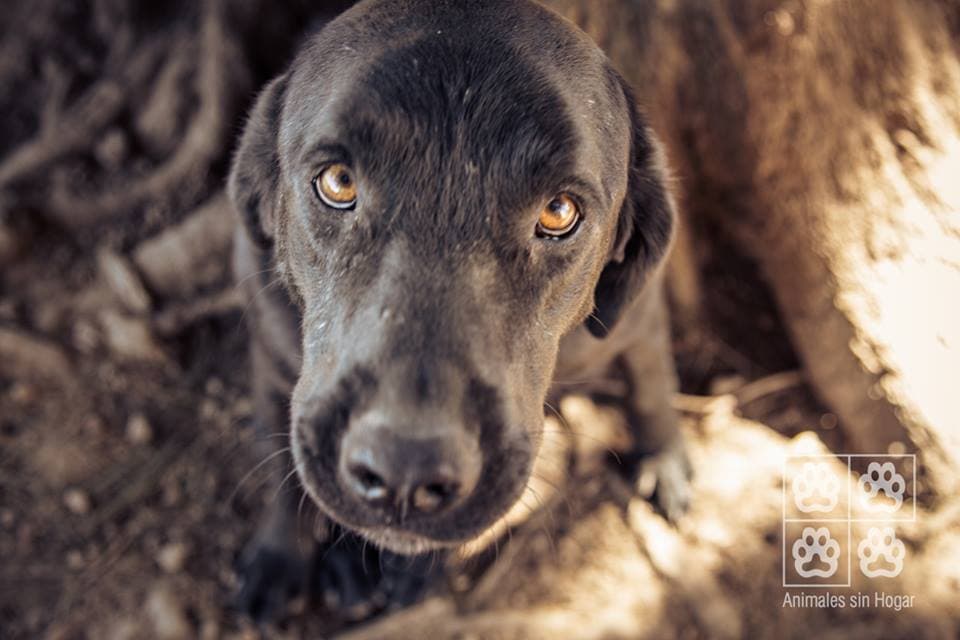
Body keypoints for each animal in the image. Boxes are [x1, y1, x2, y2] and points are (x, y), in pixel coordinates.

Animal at [228, 0, 690, 622]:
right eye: (338, 182)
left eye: (559, 211)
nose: (405, 469)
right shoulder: (272, 351)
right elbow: (281, 470)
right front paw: (280, 561)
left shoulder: (636, 323)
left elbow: (651, 383)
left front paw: (663, 456)